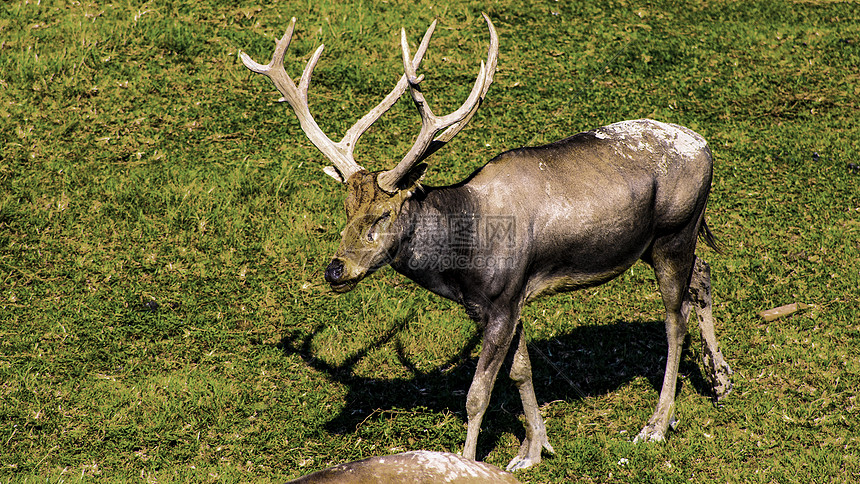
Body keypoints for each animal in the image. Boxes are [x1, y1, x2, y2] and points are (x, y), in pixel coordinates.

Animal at [240, 13, 732, 470]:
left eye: (383, 214)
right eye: (345, 210)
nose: (335, 269)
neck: (462, 263)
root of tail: (705, 146)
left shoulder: (503, 298)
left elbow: (478, 393)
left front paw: (471, 458)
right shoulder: (494, 304)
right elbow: (521, 371)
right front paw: (534, 448)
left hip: (674, 233)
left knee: (674, 317)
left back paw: (657, 424)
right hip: (664, 241)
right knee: (704, 273)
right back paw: (721, 380)